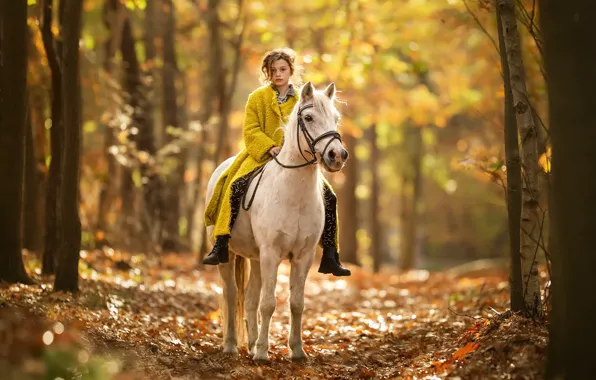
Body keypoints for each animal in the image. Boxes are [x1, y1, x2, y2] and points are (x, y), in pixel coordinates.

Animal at [204, 81, 346, 360]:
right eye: (308, 118)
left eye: (336, 118)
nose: (337, 155)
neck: (293, 194)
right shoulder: (271, 253)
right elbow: (268, 303)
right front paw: (262, 353)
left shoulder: (302, 256)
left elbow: (296, 303)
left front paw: (297, 351)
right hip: (231, 255)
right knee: (231, 294)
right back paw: (232, 345)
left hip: (256, 258)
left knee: (249, 298)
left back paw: (250, 344)